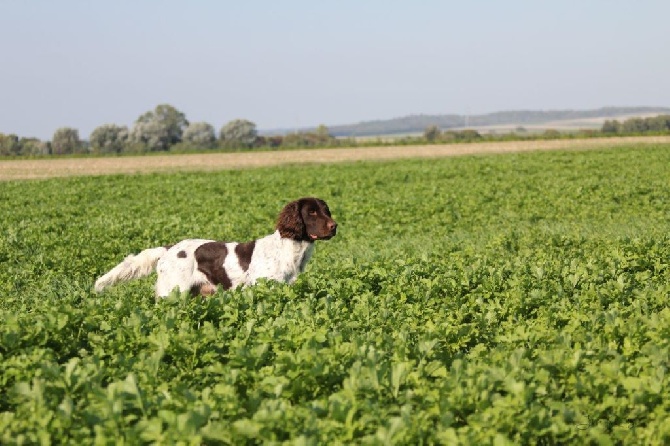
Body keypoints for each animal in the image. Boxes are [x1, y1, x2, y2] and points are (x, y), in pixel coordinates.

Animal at [94, 198, 338, 296]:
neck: (289, 250)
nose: (334, 226)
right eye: (311, 212)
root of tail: (169, 248)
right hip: (172, 292)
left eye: (326, 210)